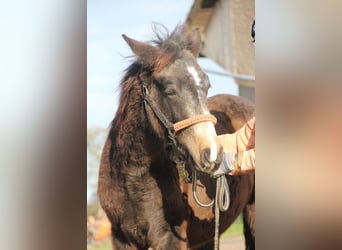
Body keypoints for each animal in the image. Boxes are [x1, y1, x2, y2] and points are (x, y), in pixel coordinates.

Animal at [97, 24, 255, 249]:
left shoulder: (170, 238)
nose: (212, 155)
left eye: (207, 87)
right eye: (169, 90)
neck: (132, 178)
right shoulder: (121, 238)